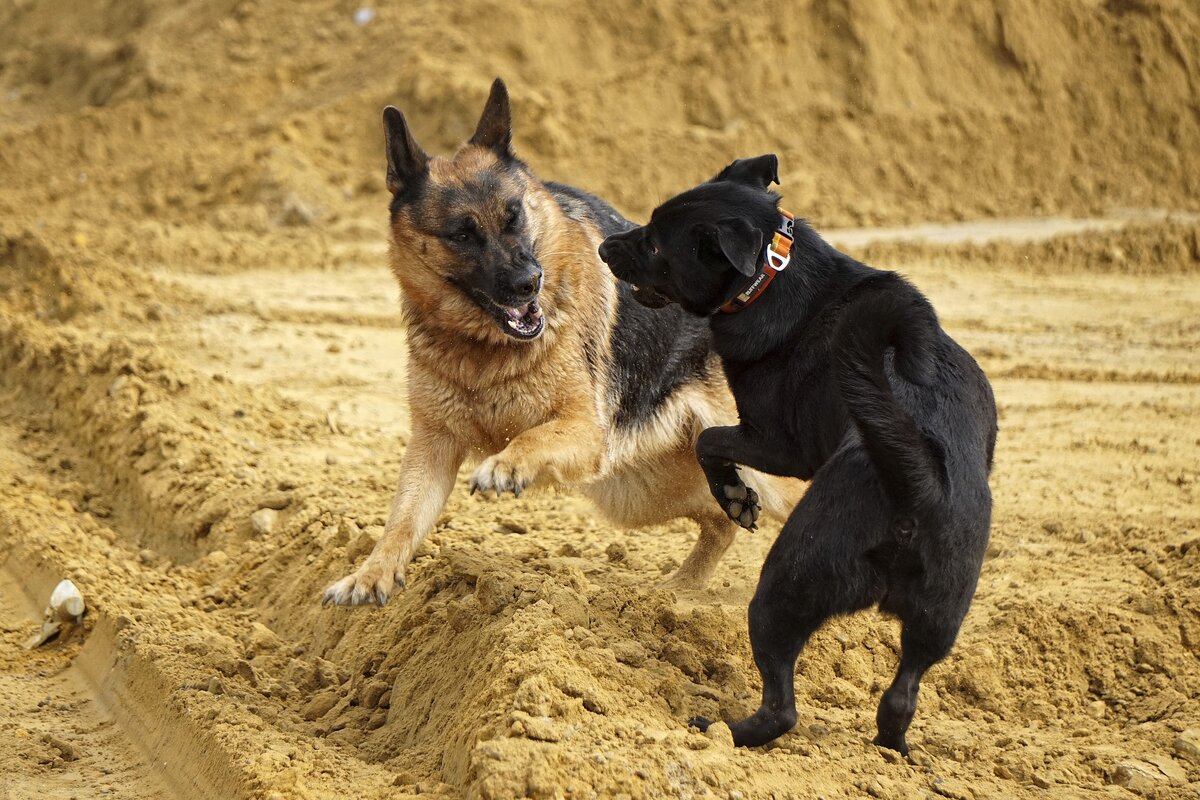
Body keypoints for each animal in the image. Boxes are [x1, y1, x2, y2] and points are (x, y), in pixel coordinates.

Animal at [324, 82, 801, 606]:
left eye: (514, 218)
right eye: (462, 234)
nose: (529, 283)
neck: (484, 350)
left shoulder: (587, 432)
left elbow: (532, 437)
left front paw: (505, 466)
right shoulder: (433, 448)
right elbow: (402, 520)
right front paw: (370, 575)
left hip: (744, 473)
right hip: (640, 489)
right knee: (722, 519)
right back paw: (677, 592)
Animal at [595, 154, 998, 753]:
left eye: (656, 245)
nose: (604, 247)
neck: (771, 274)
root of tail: (916, 481)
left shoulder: (780, 445)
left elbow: (707, 440)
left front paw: (736, 497)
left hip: (786, 585)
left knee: (782, 707)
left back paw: (724, 730)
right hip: (938, 618)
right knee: (901, 697)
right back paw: (890, 748)